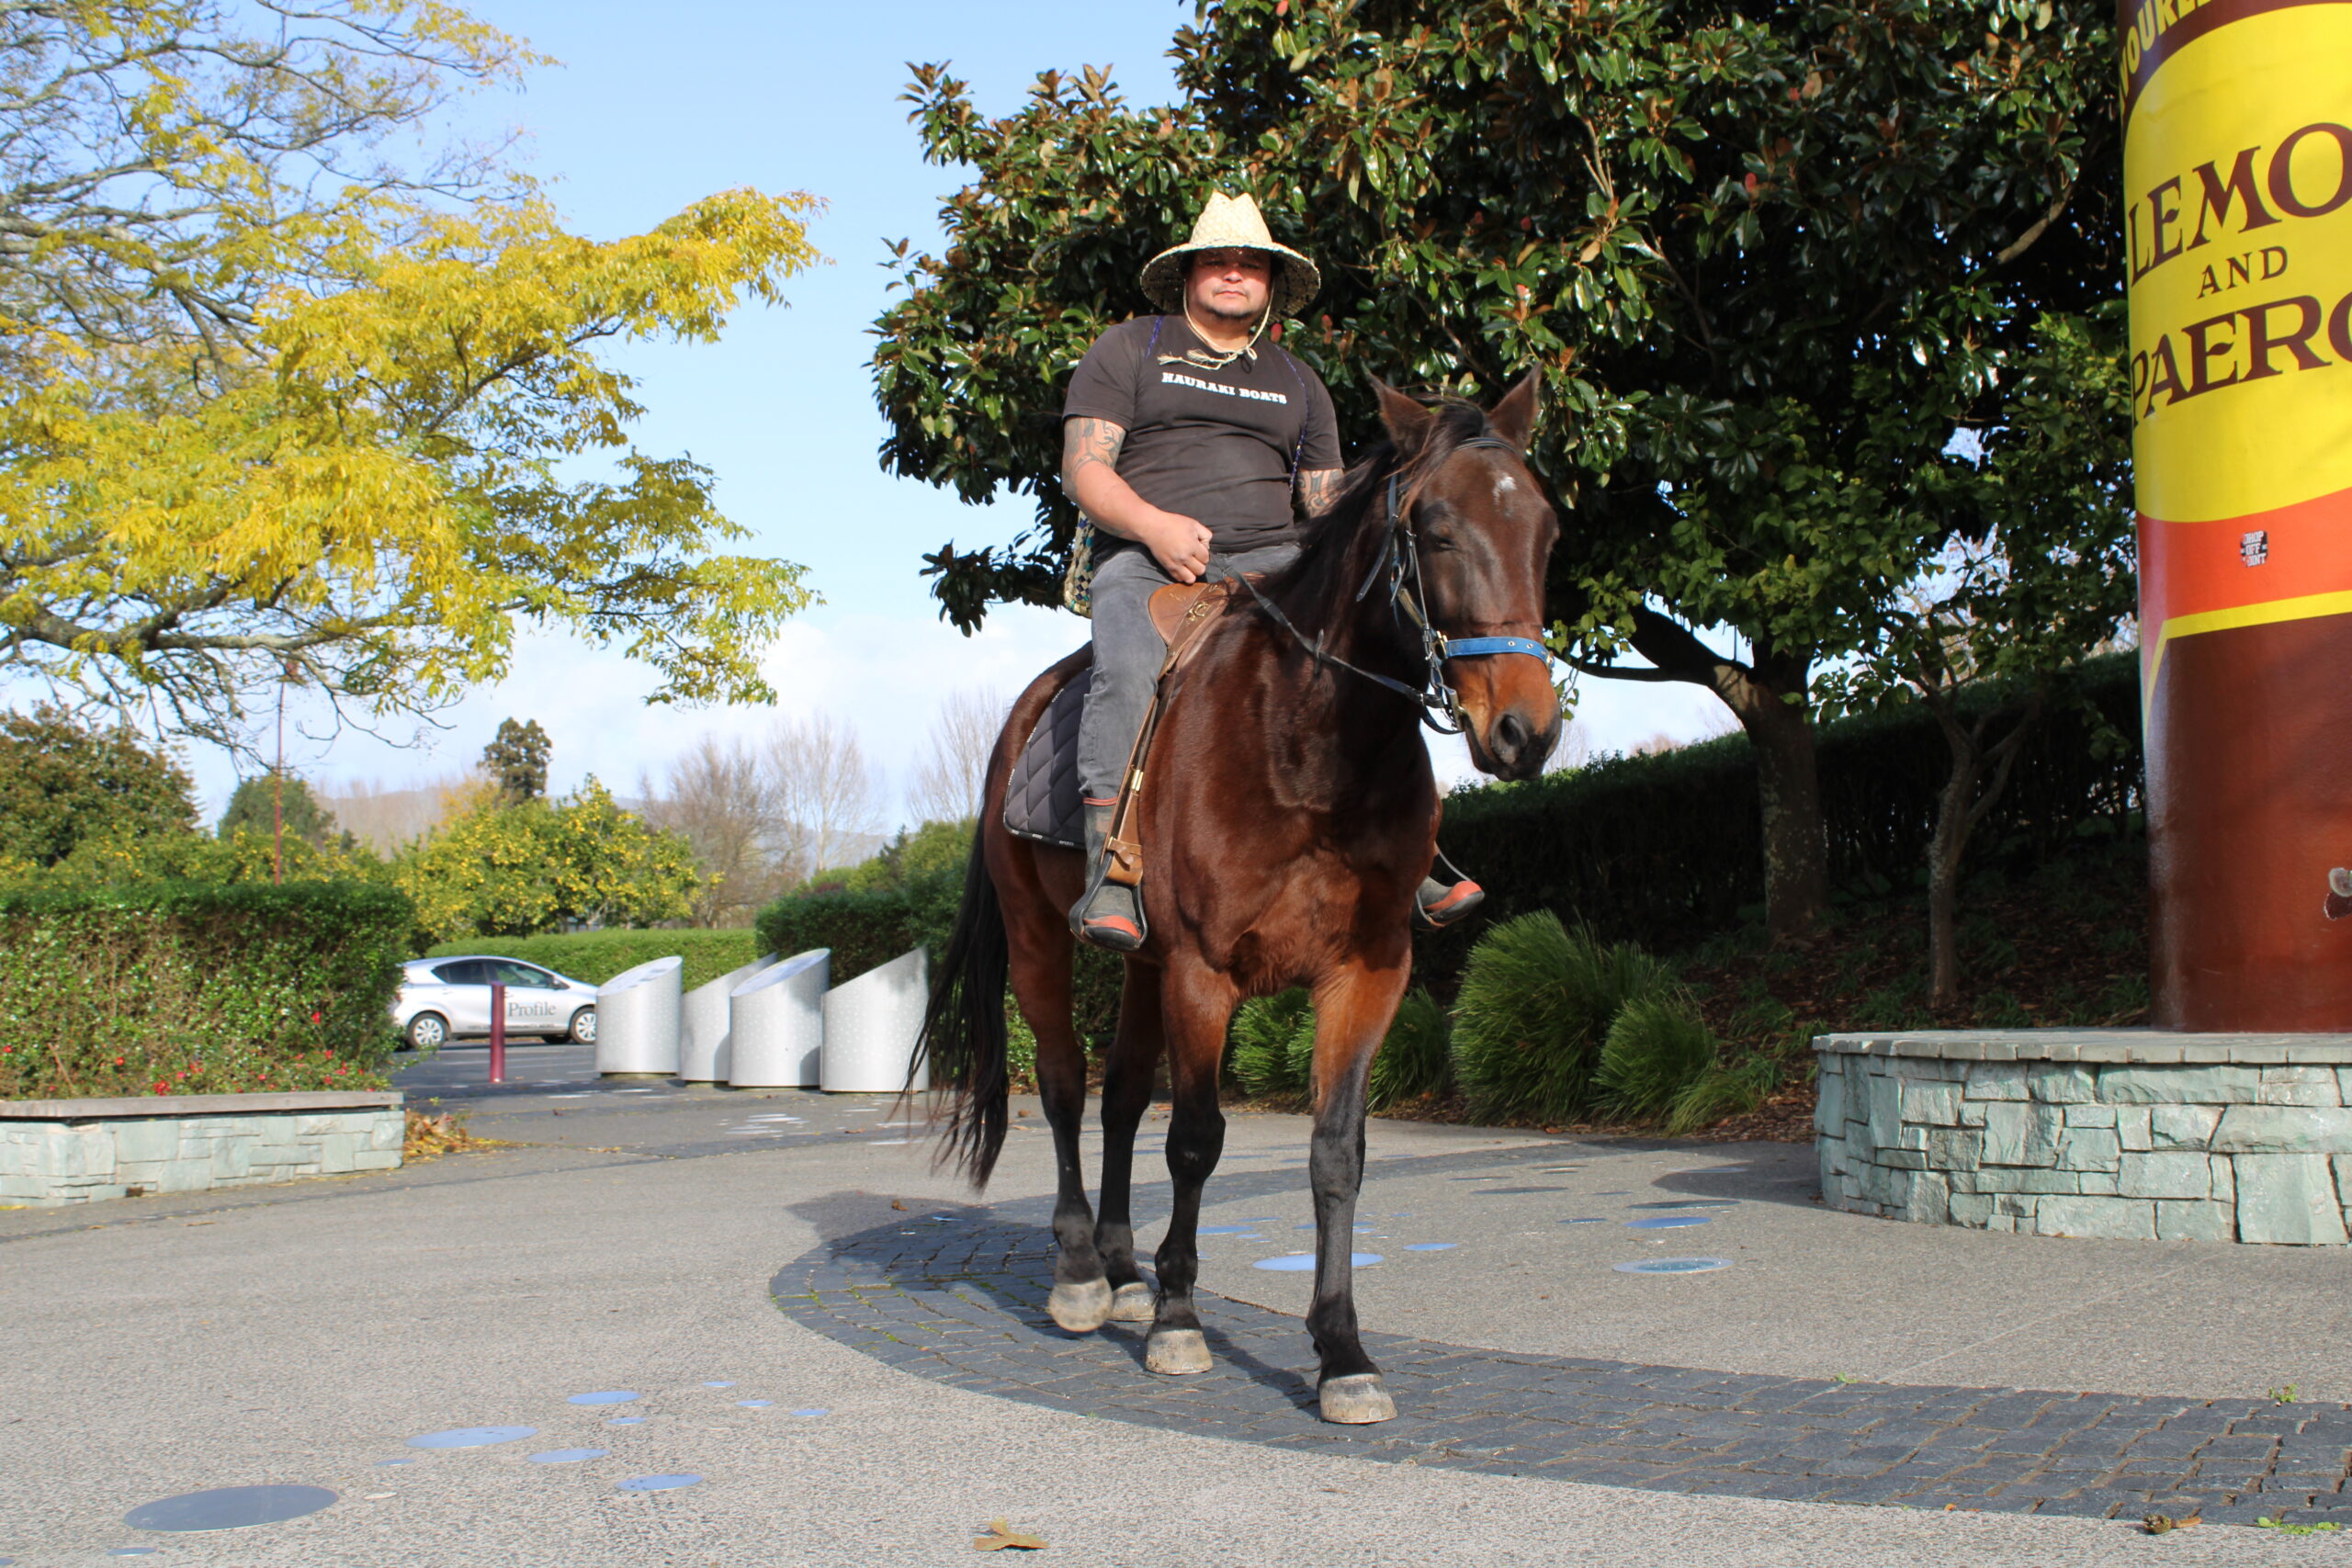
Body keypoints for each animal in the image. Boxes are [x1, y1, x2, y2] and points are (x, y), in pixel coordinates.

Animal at [917, 373, 1561, 1429]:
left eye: (1545, 530)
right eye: (1434, 529)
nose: (1525, 729)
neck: (1308, 749)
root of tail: (1025, 716)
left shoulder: (1366, 975)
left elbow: (1336, 1153)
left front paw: (1342, 1352)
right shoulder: (1202, 974)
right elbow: (1195, 1141)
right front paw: (1181, 1321)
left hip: (1139, 967)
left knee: (1119, 1100)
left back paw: (1122, 1268)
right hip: (1041, 942)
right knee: (1063, 1087)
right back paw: (1081, 1273)